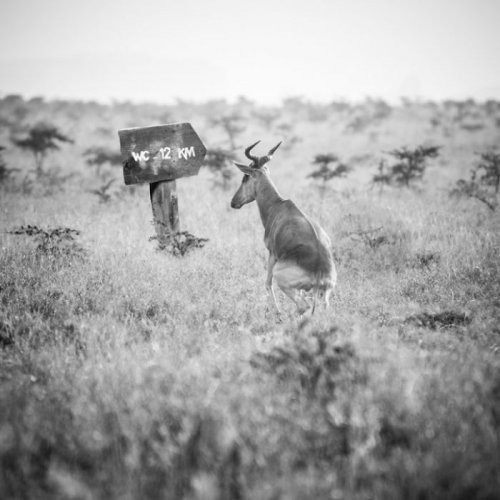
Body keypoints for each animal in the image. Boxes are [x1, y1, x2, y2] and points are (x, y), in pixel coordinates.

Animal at [230, 141, 336, 312]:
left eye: (245, 177)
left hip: (282, 277)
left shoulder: (272, 254)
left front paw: (276, 312)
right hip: (324, 293)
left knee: (303, 306)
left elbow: (267, 283)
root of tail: (320, 272)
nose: (234, 202)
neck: (278, 205)